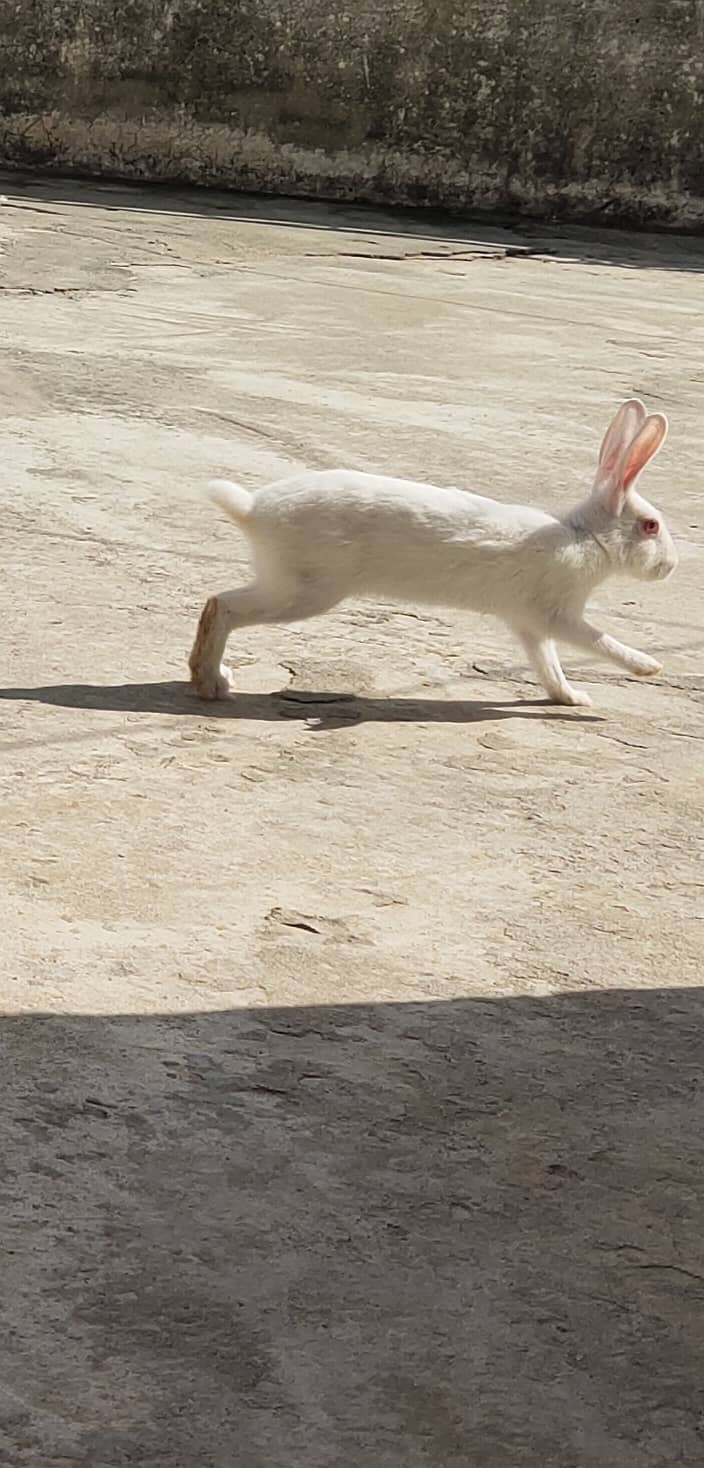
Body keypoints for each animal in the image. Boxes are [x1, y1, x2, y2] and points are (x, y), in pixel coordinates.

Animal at [187, 396, 677, 704]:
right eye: (650, 526)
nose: (670, 567)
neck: (584, 536)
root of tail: (252, 510)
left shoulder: (529, 625)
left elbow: (548, 665)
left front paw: (572, 698)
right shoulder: (558, 615)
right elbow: (598, 641)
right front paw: (649, 666)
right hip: (305, 591)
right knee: (222, 607)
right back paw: (212, 685)